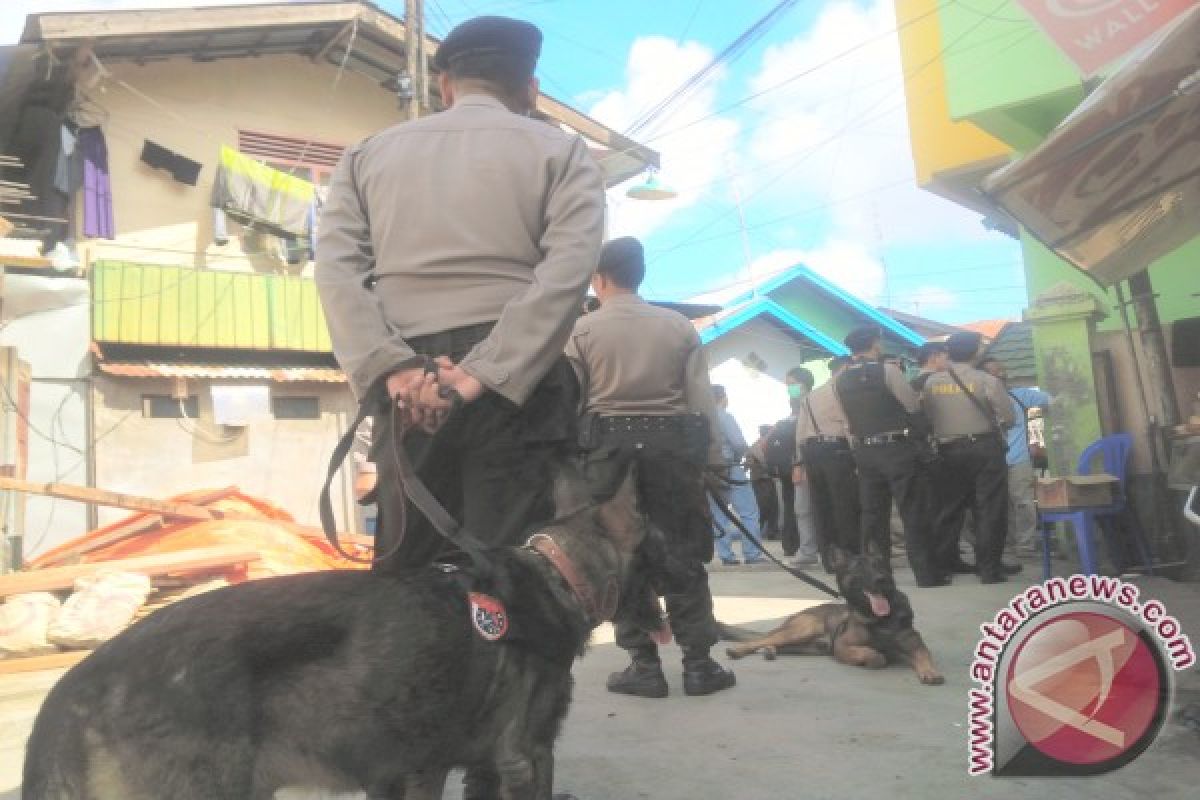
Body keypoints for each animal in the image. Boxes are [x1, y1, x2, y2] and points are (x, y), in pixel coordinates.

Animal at [720, 546, 945, 686]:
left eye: (879, 565)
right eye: (859, 568)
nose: (881, 579)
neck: (878, 618)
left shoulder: (914, 641)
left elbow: (924, 654)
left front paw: (930, 671)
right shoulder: (842, 646)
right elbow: (874, 655)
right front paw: (875, 658)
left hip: (812, 647)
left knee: (774, 644)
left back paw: (770, 651)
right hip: (804, 630)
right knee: (760, 639)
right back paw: (738, 650)